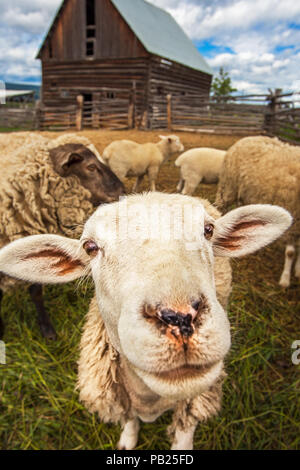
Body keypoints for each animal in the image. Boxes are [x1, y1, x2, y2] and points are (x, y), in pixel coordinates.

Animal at [0, 193, 292, 450]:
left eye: (208, 230)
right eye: (90, 247)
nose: (180, 319)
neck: (151, 398)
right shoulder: (122, 398)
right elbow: (129, 420)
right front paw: (127, 440)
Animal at [216, 136, 300, 288]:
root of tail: (248, 138)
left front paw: (297, 270)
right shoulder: (294, 216)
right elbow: (290, 252)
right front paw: (285, 279)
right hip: (228, 188)